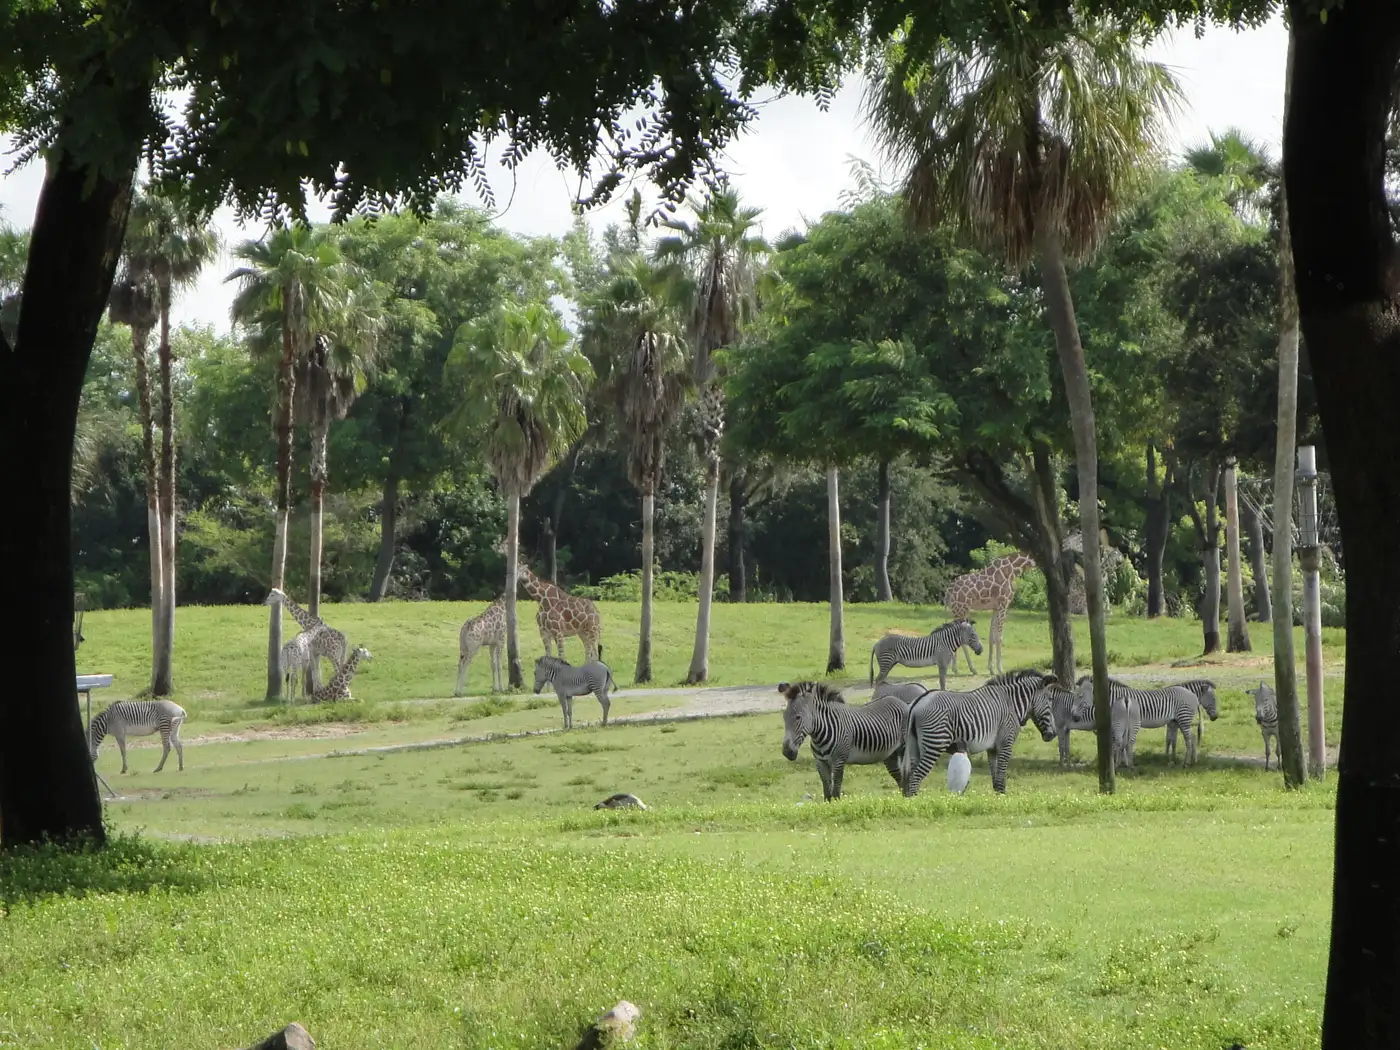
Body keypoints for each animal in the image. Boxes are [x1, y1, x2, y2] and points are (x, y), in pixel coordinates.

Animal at [778, 681, 910, 801]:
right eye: (784, 717)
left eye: (798, 717)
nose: (787, 752)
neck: (819, 736)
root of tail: (901, 702)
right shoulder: (820, 763)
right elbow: (827, 793)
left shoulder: (838, 761)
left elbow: (836, 791)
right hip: (890, 754)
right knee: (899, 776)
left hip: (904, 748)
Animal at [901, 669, 1058, 796]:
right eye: (1050, 699)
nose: (1053, 734)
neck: (1012, 704)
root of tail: (918, 702)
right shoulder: (1005, 743)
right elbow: (1002, 773)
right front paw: (1003, 797)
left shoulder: (993, 748)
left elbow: (995, 775)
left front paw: (997, 797)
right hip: (935, 743)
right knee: (916, 777)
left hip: (915, 747)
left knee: (910, 777)